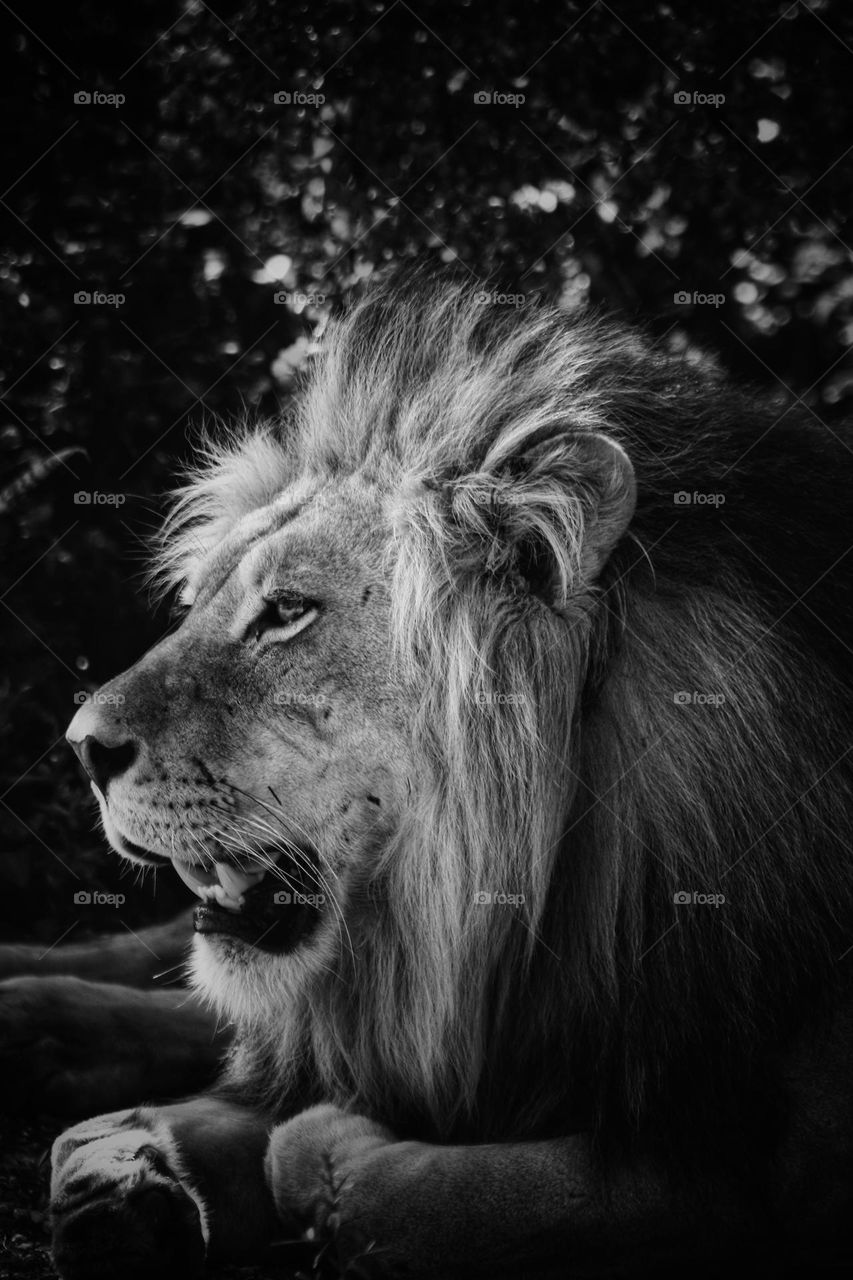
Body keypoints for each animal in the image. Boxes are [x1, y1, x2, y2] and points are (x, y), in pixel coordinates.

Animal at [5, 277, 853, 1277]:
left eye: (285, 612)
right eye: (202, 602)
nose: (80, 746)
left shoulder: (743, 1171)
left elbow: (421, 1197)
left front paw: (258, 1150)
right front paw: (136, 1158)